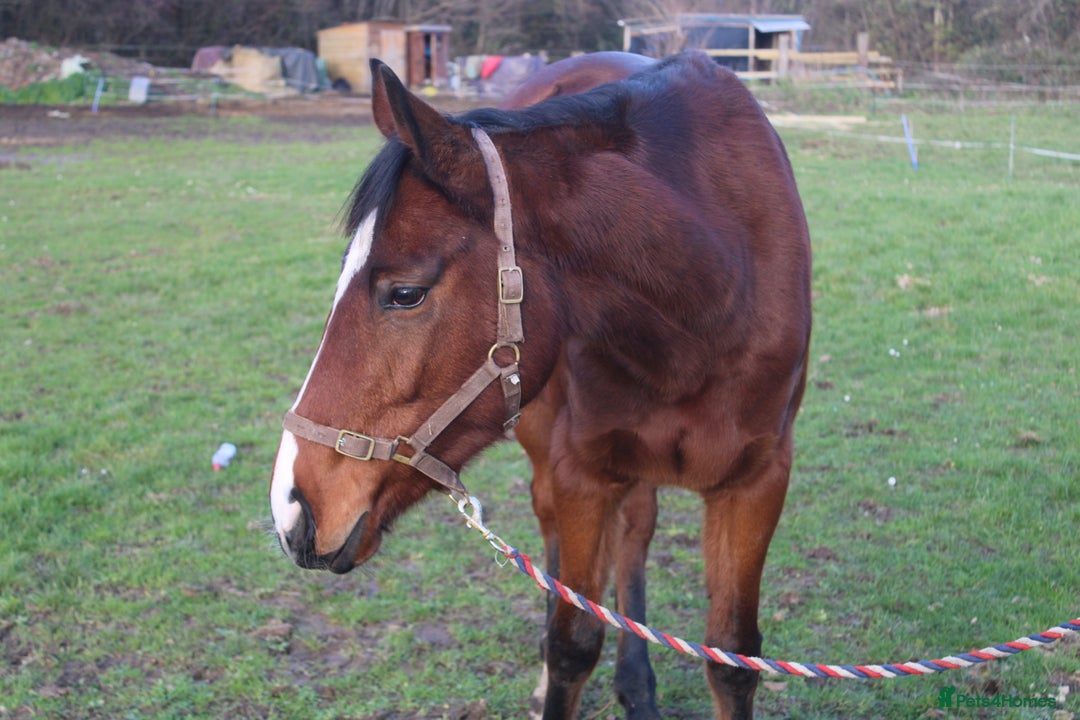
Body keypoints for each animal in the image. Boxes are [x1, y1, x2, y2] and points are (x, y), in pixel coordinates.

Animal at [269, 50, 812, 720]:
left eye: (405, 293)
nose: (291, 507)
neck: (715, 292)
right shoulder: (581, 474)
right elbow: (572, 641)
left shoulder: (758, 483)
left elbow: (733, 657)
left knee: (634, 531)